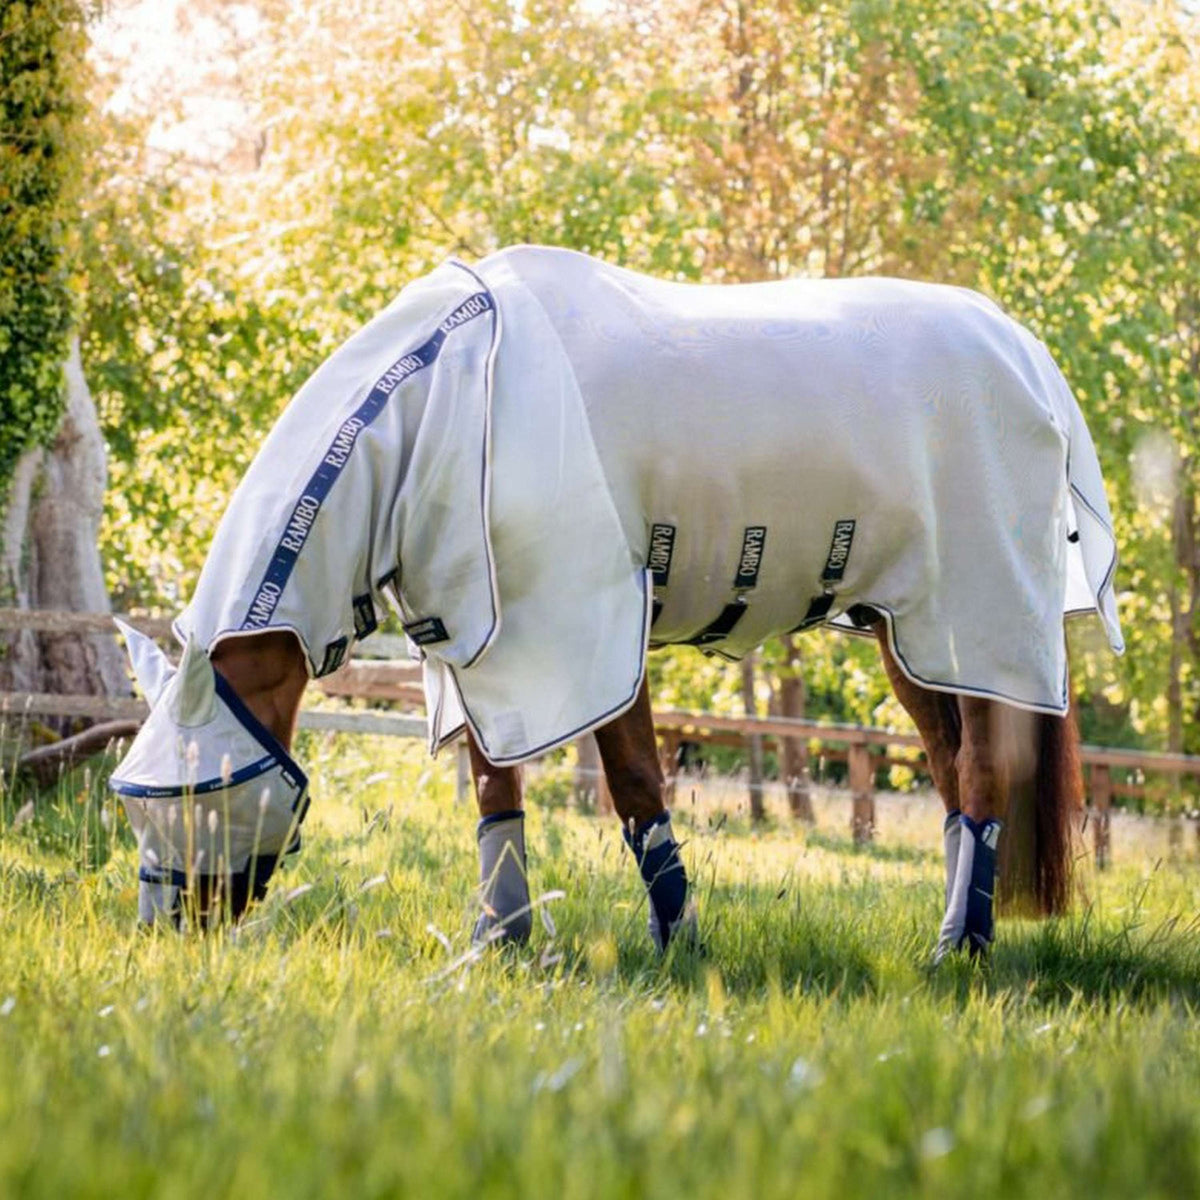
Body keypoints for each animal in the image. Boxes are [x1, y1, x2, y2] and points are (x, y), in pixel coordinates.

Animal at [108, 248, 1118, 960]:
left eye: (198, 790)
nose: (165, 931)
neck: (450, 397)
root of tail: (1024, 351)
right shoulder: (480, 643)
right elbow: (494, 789)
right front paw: (500, 942)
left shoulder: (583, 626)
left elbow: (633, 785)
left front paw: (679, 947)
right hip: (908, 634)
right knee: (951, 772)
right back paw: (963, 937)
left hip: (979, 619)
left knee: (979, 771)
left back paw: (958, 950)